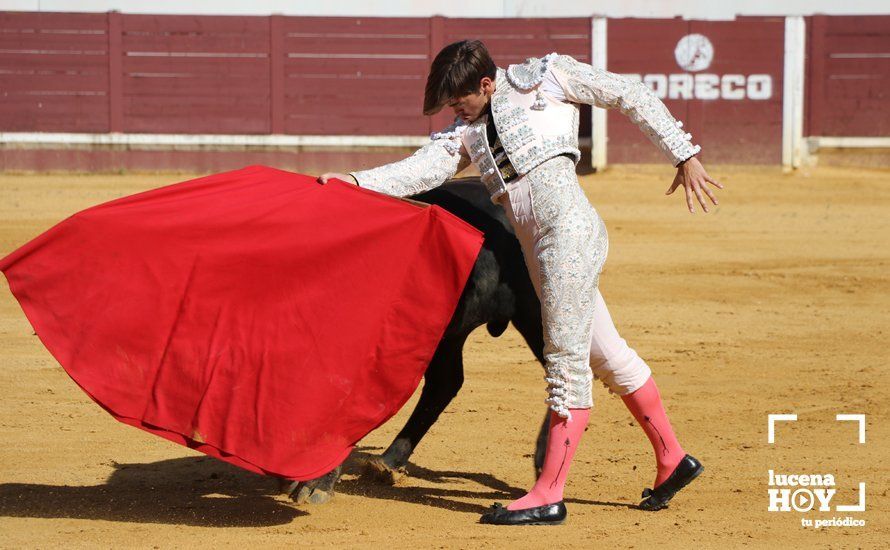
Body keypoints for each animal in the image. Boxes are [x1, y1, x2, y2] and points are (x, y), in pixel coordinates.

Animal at [288, 179, 556, 506]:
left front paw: (315, 483)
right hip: (449, 333)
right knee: (446, 382)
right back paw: (388, 462)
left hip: (537, 314)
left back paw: (542, 463)